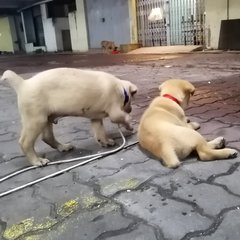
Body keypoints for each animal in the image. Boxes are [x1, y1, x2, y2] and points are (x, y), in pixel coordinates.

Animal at [0, 67, 137, 165]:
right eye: (130, 101)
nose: (130, 109)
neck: (121, 88)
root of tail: (23, 84)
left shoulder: (95, 117)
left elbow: (100, 132)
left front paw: (106, 141)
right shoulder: (115, 112)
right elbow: (124, 118)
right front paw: (131, 126)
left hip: (46, 118)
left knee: (47, 137)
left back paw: (63, 147)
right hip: (36, 120)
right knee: (25, 142)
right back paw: (37, 161)